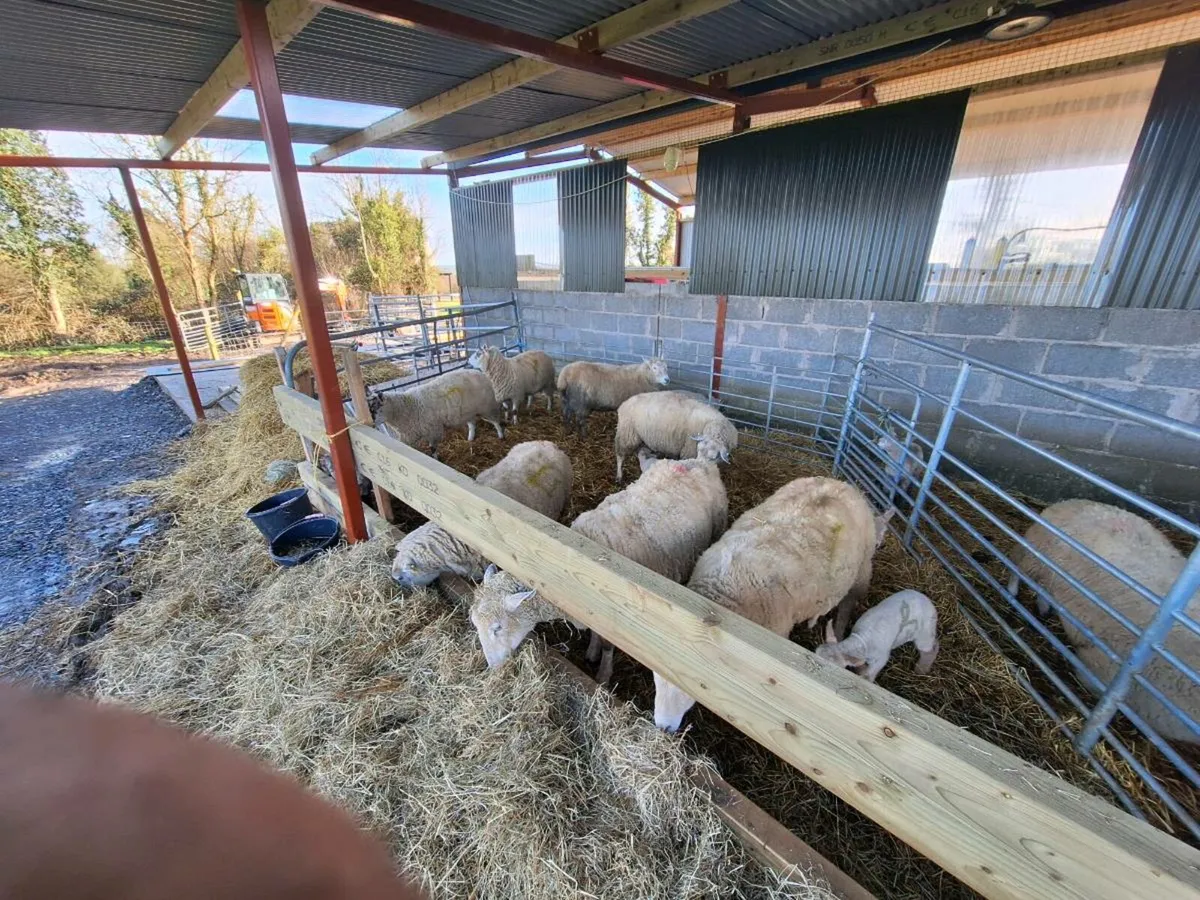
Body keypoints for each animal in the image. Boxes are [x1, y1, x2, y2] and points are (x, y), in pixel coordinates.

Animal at [375, 369, 505, 457]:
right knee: (472, 424)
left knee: (496, 422)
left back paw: (501, 435)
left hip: (488, 407)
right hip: (469, 412)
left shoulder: (433, 431)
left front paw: (435, 458)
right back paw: (470, 438)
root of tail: (481, 374)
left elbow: (433, 448)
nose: (375, 423)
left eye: (377, 406)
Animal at [470, 458, 728, 684]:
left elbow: (607, 646)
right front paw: (592, 651)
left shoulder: (614, 617)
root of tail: (700, 462)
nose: (492, 668)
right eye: (474, 623)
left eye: (497, 627)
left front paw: (604, 674)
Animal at [653, 476, 889, 732]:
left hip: (862, 571)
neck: (725, 588)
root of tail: (844, 484)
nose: (663, 727)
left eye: (694, 681)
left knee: (847, 605)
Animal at [1010, 498, 1200, 745]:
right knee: (1016, 563)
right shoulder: (1099, 671)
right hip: (1035, 551)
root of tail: (1071, 501)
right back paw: (1012, 592)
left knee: (1044, 588)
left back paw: (1043, 608)